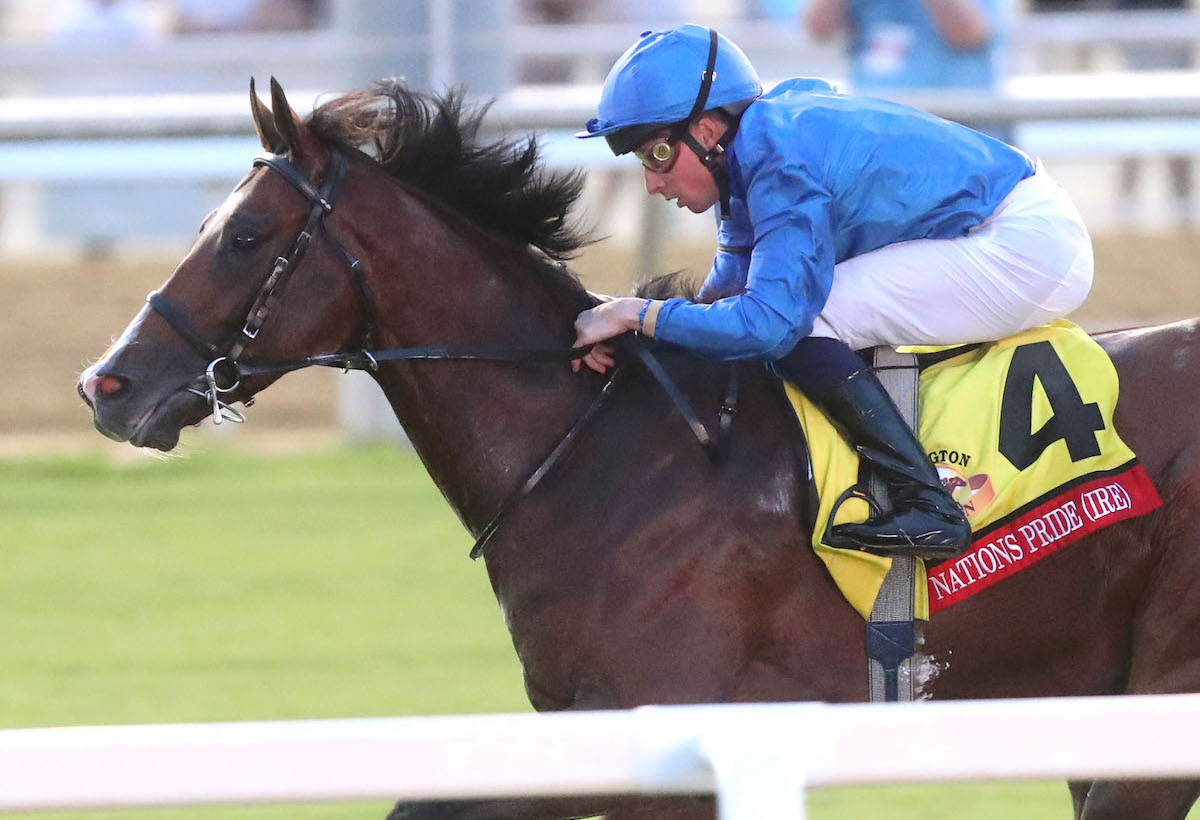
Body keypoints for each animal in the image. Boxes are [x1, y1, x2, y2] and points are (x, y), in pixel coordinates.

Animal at [77, 78, 1200, 820]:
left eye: (243, 238)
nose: (106, 385)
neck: (598, 452)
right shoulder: (586, 734)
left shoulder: (674, 742)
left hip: (1155, 711)